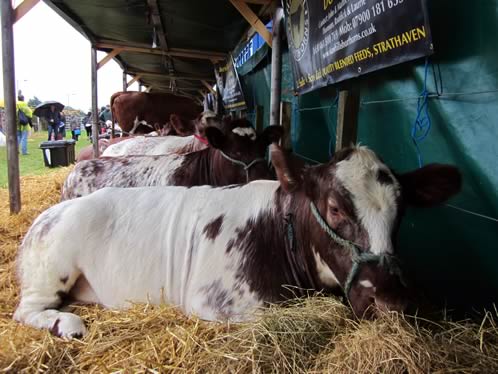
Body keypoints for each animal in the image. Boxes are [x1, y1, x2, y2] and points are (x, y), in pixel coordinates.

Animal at [12, 142, 462, 336]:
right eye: (335, 208)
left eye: (402, 212)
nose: (390, 302)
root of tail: (47, 213)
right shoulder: (217, 301)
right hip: (52, 267)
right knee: (26, 310)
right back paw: (66, 324)